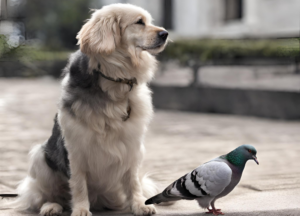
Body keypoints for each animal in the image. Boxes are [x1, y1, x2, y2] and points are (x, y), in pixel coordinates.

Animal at [9, 3, 169, 216]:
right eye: (139, 22)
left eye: (149, 21)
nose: (165, 34)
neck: (114, 81)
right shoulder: (76, 147)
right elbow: (78, 183)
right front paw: (81, 209)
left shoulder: (133, 146)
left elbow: (133, 180)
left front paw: (139, 205)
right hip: (40, 156)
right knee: (45, 196)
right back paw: (51, 206)